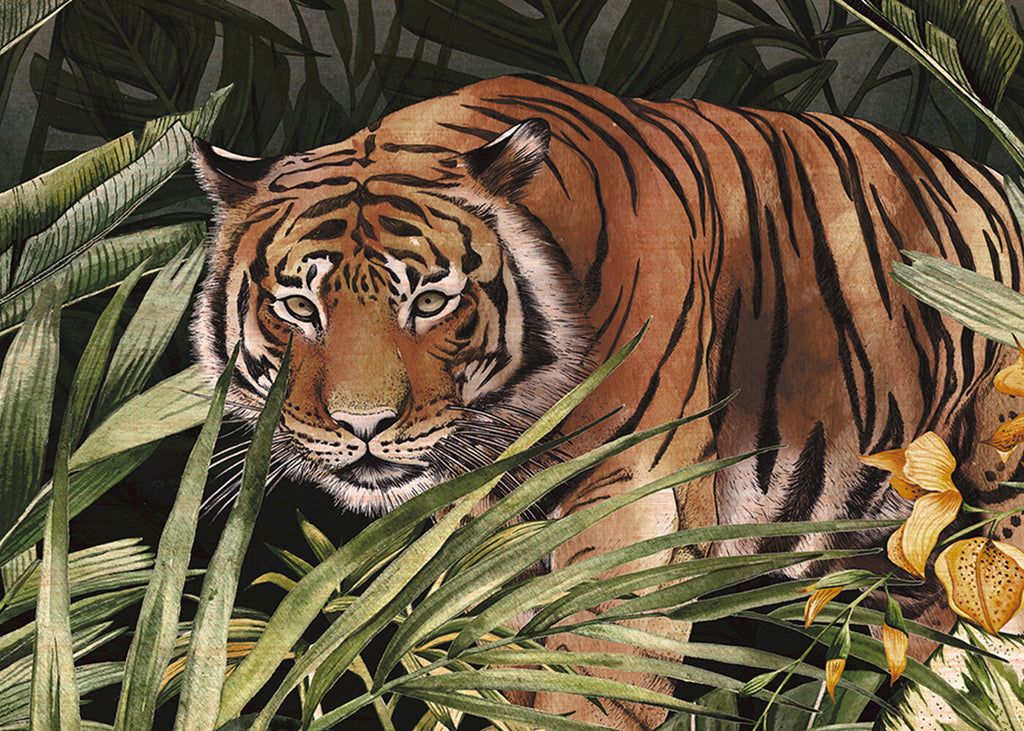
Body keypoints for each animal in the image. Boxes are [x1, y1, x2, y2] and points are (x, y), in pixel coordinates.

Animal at [191, 73, 1024, 729]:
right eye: (299, 306)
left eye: (430, 300)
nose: (363, 425)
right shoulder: (490, 545)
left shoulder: (637, 504)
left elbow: (596, 681)